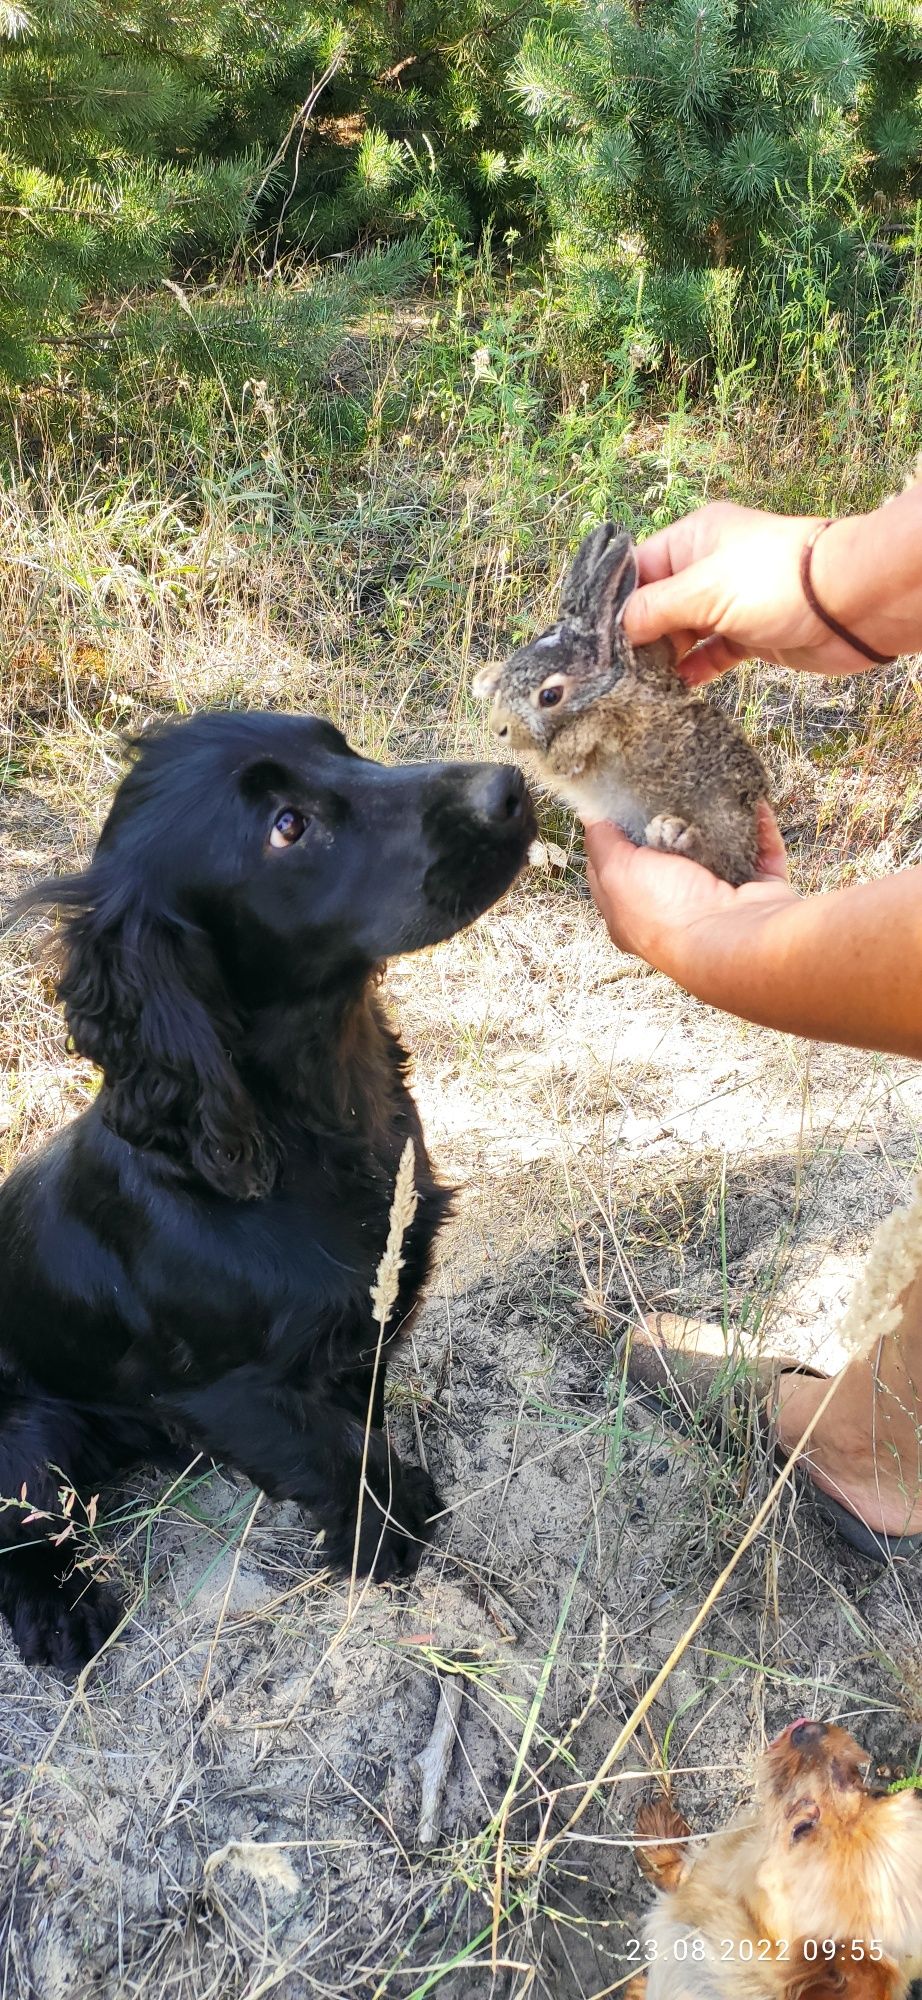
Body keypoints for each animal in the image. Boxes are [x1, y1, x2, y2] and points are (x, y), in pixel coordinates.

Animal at [0, 712, 532, 1680]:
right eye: (287, 827)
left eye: (340, 745)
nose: (511, 786)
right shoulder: (224, 1391)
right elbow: (331, 1454)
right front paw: (384, 1535)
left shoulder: (360, 1329)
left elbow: (358, 1421)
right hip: (22, 1434)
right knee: (21, 1530)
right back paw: (60, 1610)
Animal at [474, 524, 768, 884]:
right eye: (517, 660)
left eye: (549, 696)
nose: (498, 728)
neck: (609, 684)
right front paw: (487, 679)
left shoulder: (637, 718)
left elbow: (601, 718)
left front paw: (563, 757)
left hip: (721, 817)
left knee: (717, 860)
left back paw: (673, 836)